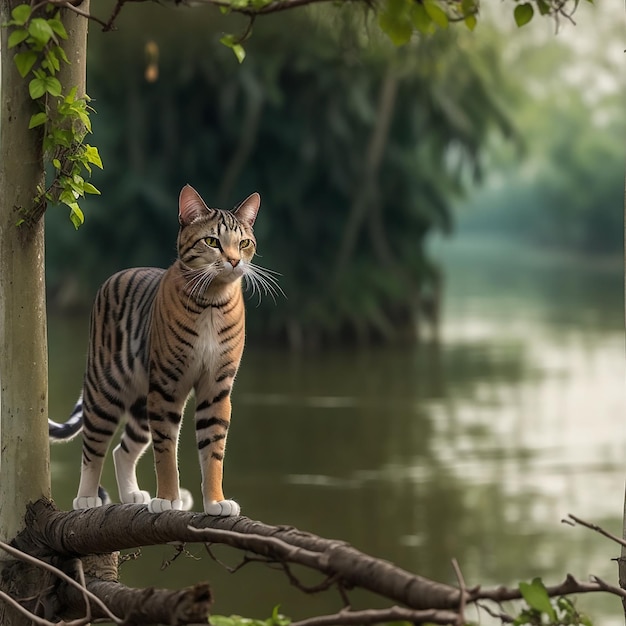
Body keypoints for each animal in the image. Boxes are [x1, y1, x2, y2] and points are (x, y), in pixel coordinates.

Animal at [50, 183, 280, 516]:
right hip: (106, 389)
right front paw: (168, 500)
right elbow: (166, 453)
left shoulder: (216, 388)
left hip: (140, 405)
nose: (235, 261)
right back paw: (87, 499)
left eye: (244, 243)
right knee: (93, 446)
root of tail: (115, 275)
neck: (213, 299)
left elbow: (213, 451)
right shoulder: (167, 386)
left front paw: (216, 502)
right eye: (212, 241)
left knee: (122, 450)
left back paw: (133, 496)